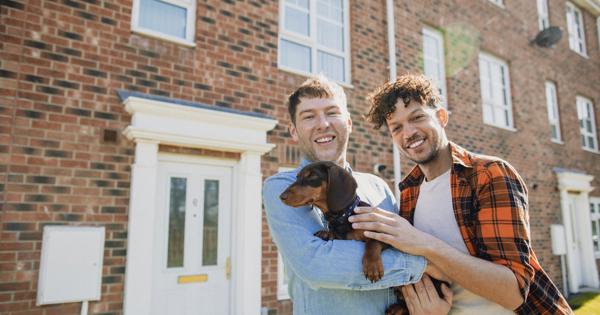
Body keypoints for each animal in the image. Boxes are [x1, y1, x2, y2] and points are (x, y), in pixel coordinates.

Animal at [278, 162, 448, 315]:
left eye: (312, 177)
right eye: (297, 177)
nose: (281, 197)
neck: (343, 216)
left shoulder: (385, 235)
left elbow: (372, 242)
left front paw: (372, 267)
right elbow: (336, 235)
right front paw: (326, 233)